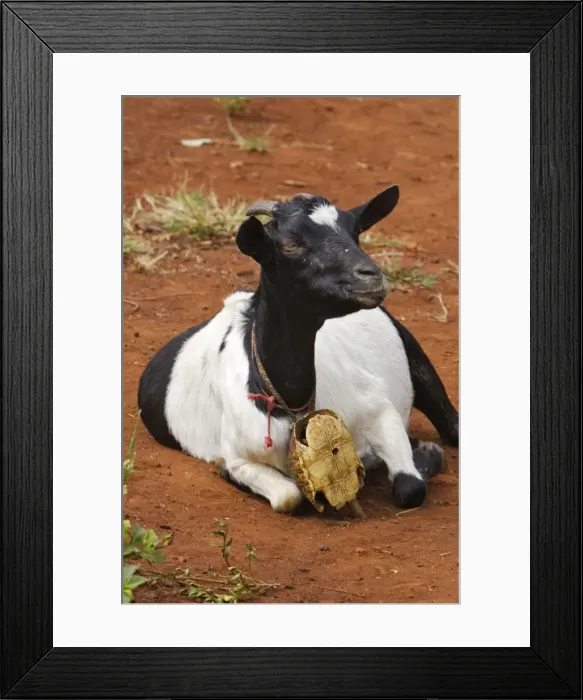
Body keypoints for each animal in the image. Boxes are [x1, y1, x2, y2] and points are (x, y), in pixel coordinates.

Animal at [138, 186, 459, 513]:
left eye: (355, 232)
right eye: (290, 245)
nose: (371, 276)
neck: (289, 403)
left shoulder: (378, 409)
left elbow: (410, 487)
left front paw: (425, 455)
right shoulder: (239, 453)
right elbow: (286, 496)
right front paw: (223, 470)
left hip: (415, 358)